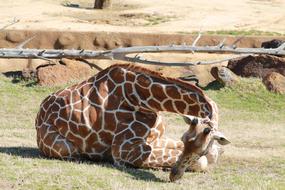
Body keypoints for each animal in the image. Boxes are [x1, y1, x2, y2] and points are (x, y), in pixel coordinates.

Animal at [35, 63, 229, 171]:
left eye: (200, 148)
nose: (174, 176)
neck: (143, 99)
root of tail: (38, 116)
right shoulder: (125, 150)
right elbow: (203, 161)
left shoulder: (153, 139)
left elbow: (211, 154)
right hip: (65, 148)